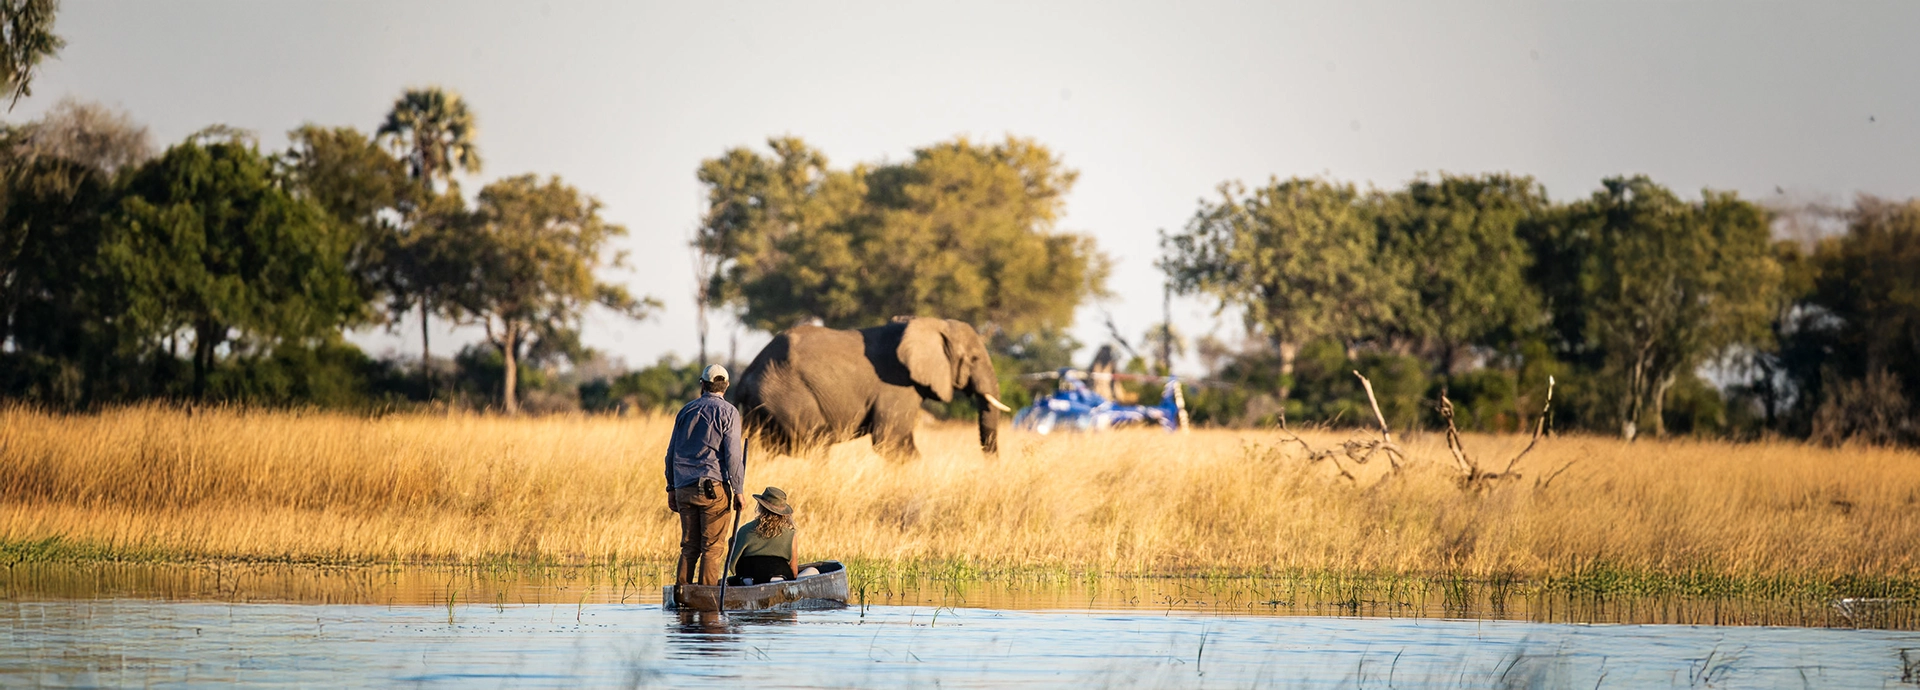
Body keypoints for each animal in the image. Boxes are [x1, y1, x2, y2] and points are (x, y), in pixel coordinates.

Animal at [732, 317, 1014, 459]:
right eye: (974, 359)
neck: (930, 324)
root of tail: (746, 376)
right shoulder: (897, 385)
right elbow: (890, 442)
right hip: (788, 396)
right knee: (815, 444)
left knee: (758, 450)